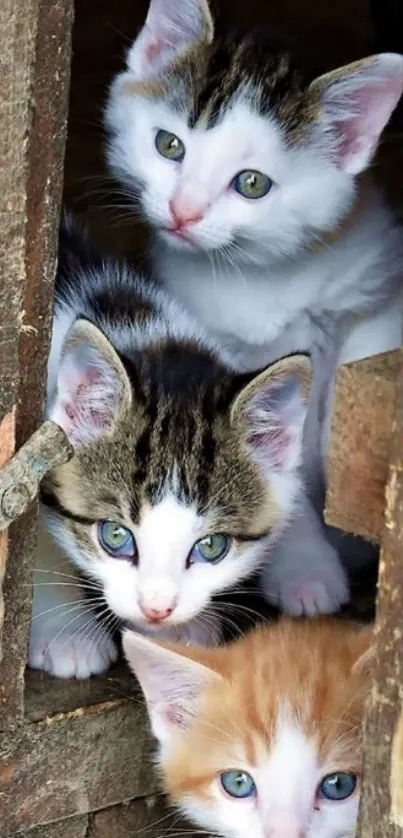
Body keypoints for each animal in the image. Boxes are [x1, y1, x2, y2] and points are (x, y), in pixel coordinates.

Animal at [105, 0, 403, 616]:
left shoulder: (377, 294)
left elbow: (355, 389)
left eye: (251, 184)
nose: (184, 211)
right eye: (169, 146)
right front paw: (307, 571)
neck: (264, 275)